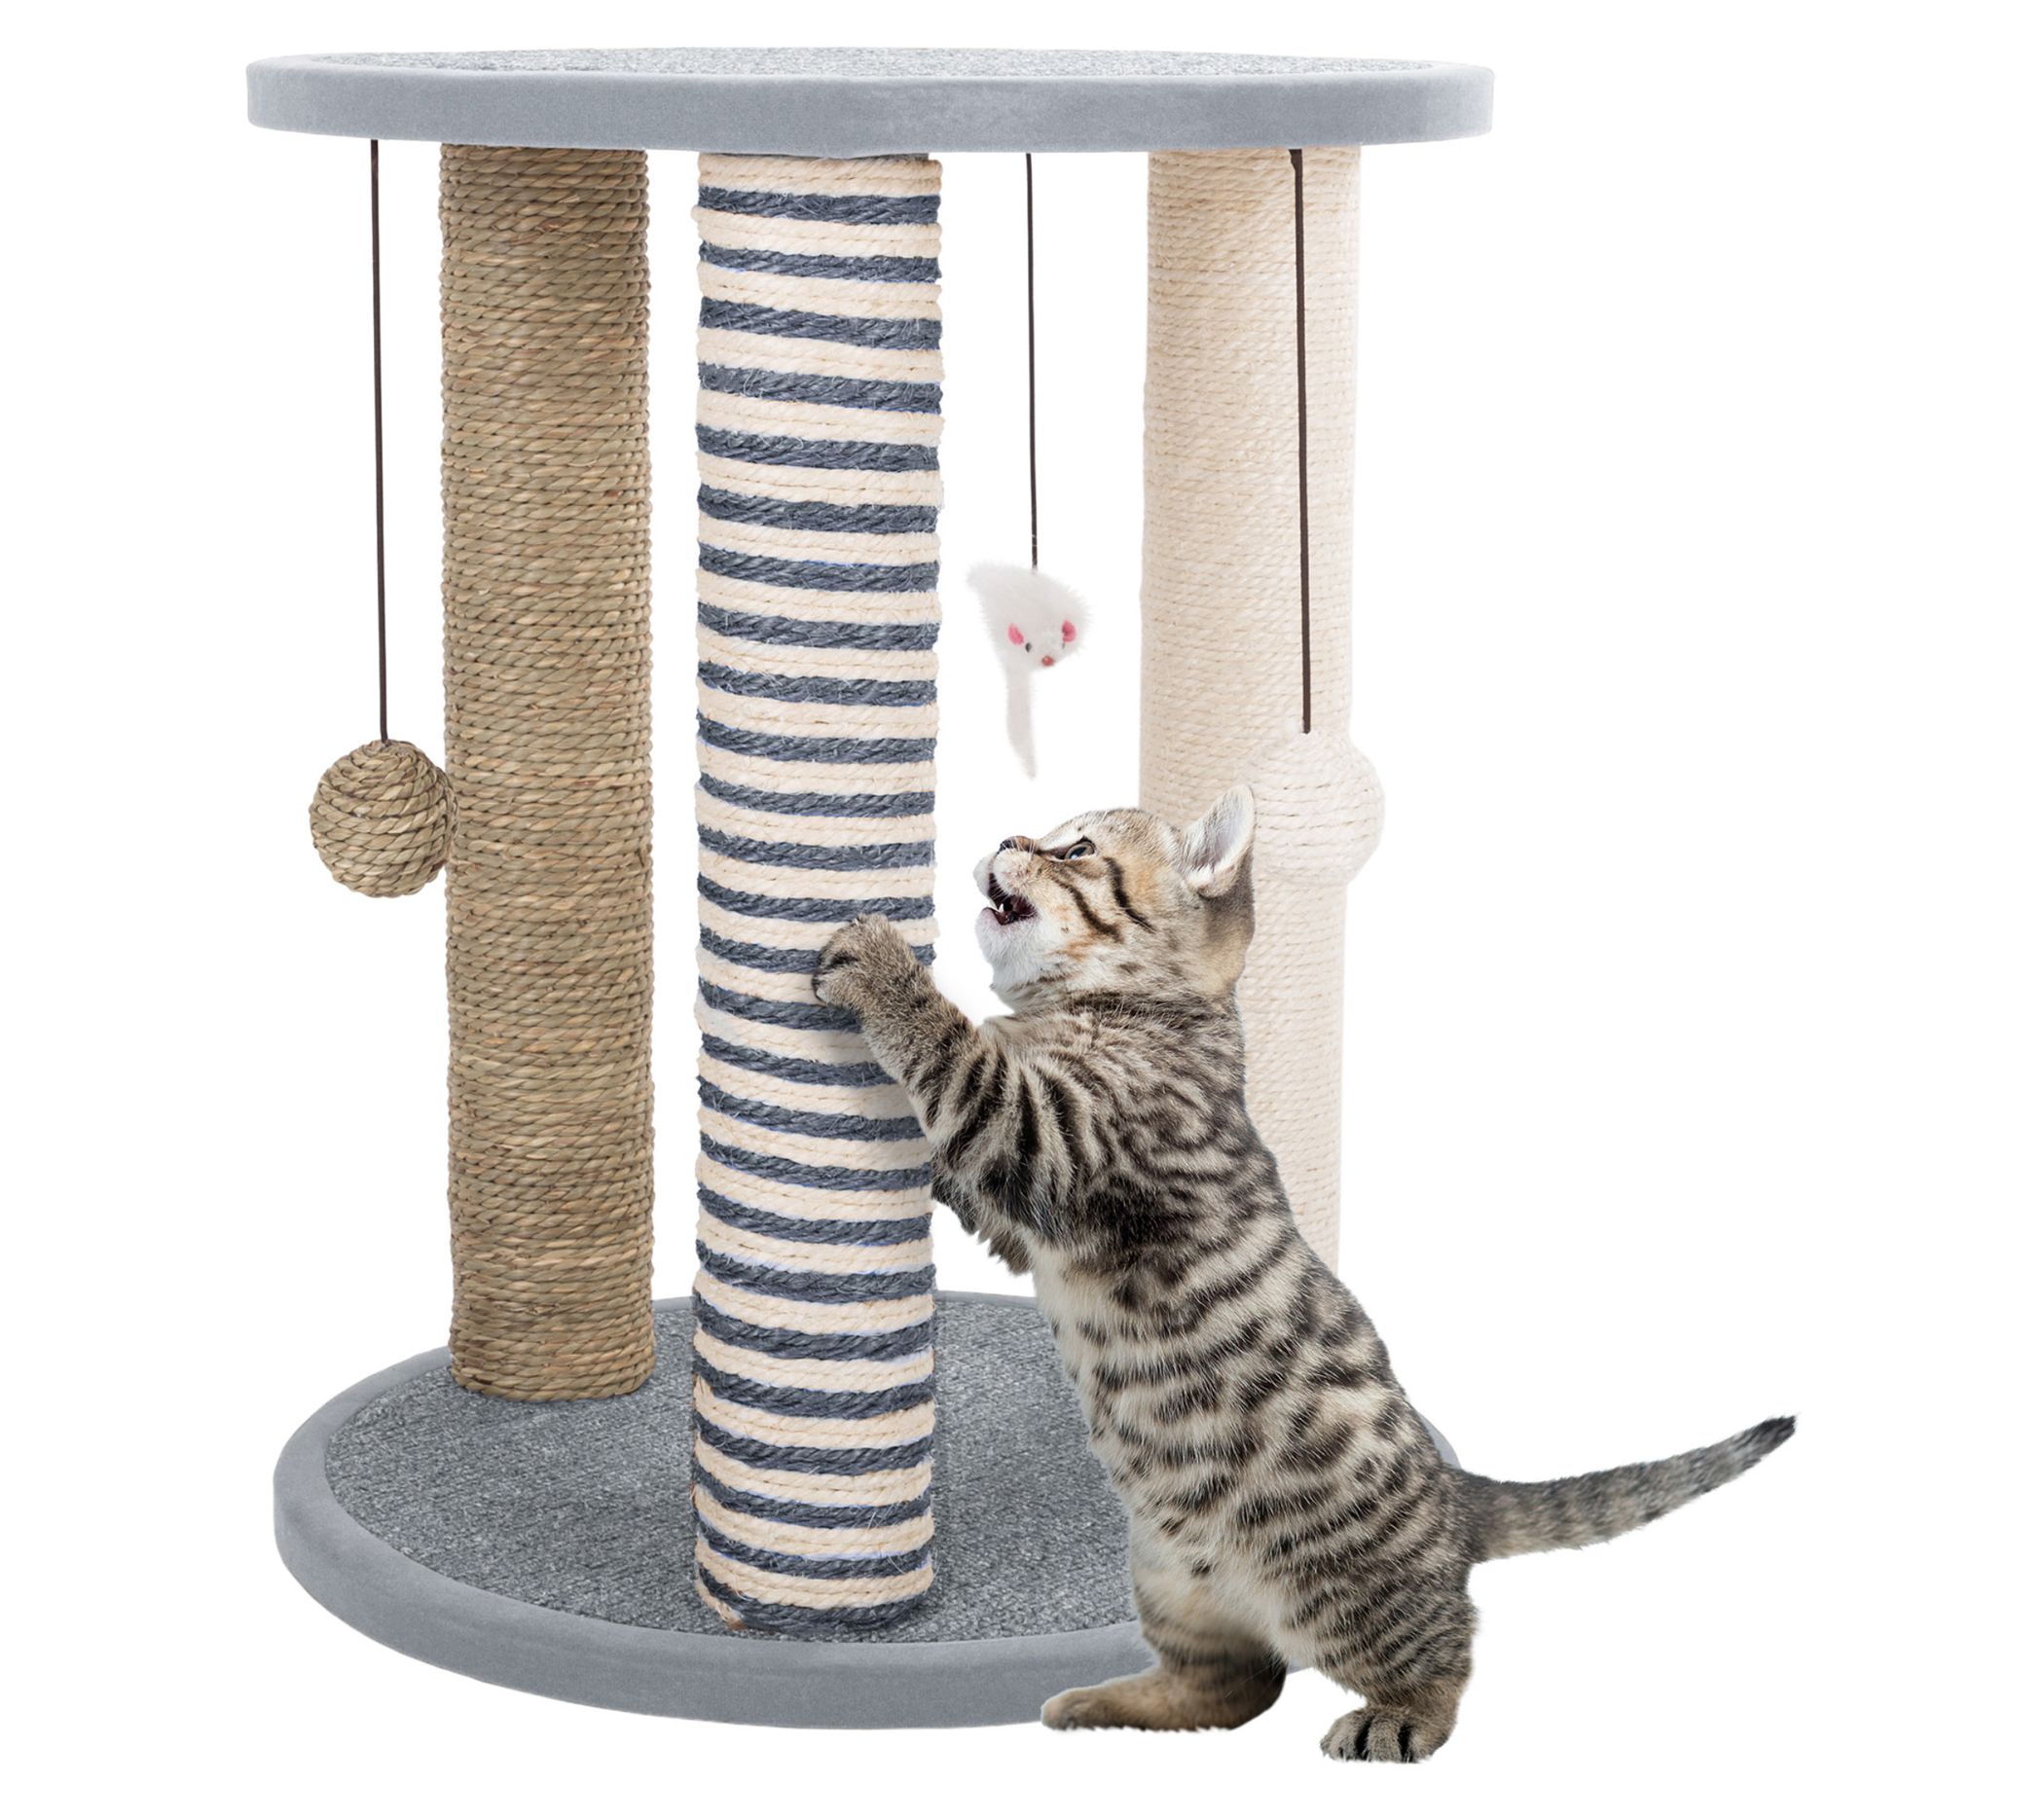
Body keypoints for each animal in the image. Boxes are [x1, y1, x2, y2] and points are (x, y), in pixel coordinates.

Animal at [813, 786, 1793, 1761]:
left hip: (1347, 1593)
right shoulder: (1019, 1218)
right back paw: (1104, 1704)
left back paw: (1399, 1716)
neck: (1147, 1010)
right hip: (1169, 1580)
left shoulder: (1051, 1140)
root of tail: (1452, 1497)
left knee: (1445, 1650)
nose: (1010, 837)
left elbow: (961, 1057)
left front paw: (881, 965)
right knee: (1233, 1687)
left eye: (1077, 850)